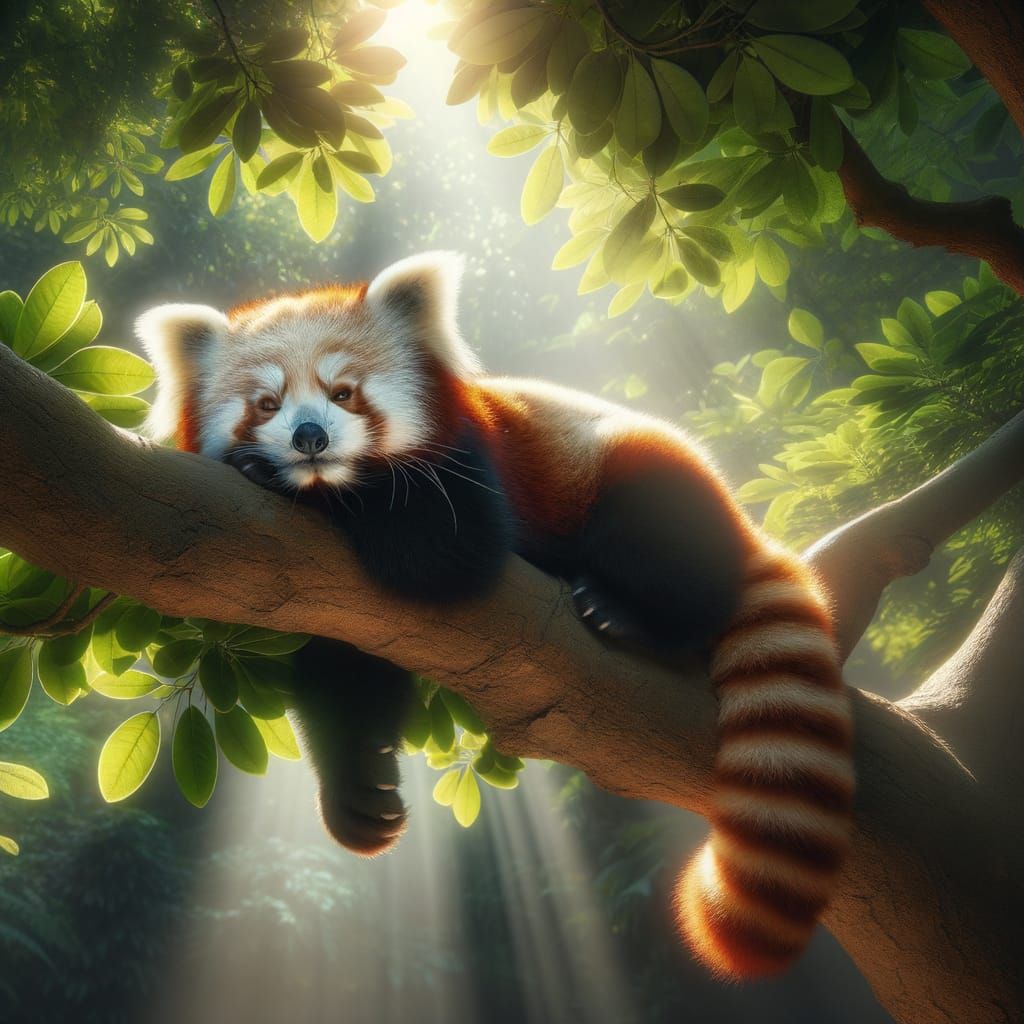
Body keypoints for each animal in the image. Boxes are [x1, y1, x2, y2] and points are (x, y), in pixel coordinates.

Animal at [138, 251, 853, 978]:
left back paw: (630, 617)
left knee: (668, 558)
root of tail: (739, 521)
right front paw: (359, 791)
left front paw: (273, 475)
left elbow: (441, 552)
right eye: (267, 403)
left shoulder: (467, 468)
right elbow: (343, 680)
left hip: (643, 480)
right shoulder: (328, 600)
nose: (309, 438)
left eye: (343, 394)